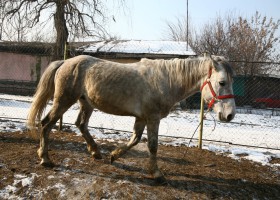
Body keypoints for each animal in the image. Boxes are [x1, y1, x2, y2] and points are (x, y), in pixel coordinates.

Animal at [27, 54, 235, 183]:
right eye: (222, 82)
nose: (230, 115)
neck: (166, 80)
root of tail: (65, 62)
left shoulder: (141, 118)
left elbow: (134, 140)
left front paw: (114, 155)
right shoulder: (152, 118)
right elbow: (152, 146)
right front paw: (157, 174)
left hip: (86, 103)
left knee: (81, 124)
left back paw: (96, 152)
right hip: (63, 101)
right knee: (46, 124)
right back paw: (45, 159)